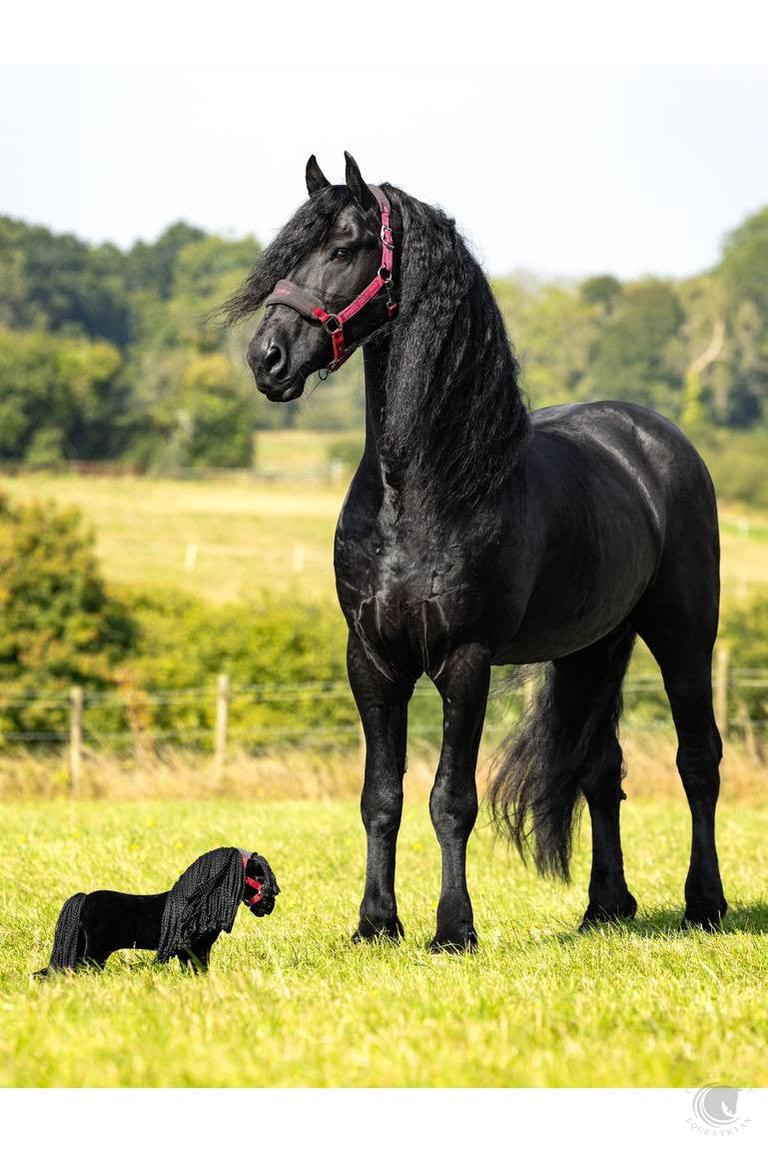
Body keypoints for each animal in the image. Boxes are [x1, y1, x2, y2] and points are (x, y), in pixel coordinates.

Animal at [224, 152, 727, 952]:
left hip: (683, 634)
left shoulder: (466, 659)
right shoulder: (371, 660)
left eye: (344, 248)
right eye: (286, 252)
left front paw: (453, 929)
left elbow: (451, 799)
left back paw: (704, 903)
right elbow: (382, 796)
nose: (265, 359)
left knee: (698, 760)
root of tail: (656, 439)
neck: (420, 490)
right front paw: (376, 923)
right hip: (594, 647)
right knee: (599, 769)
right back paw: (605, 908)